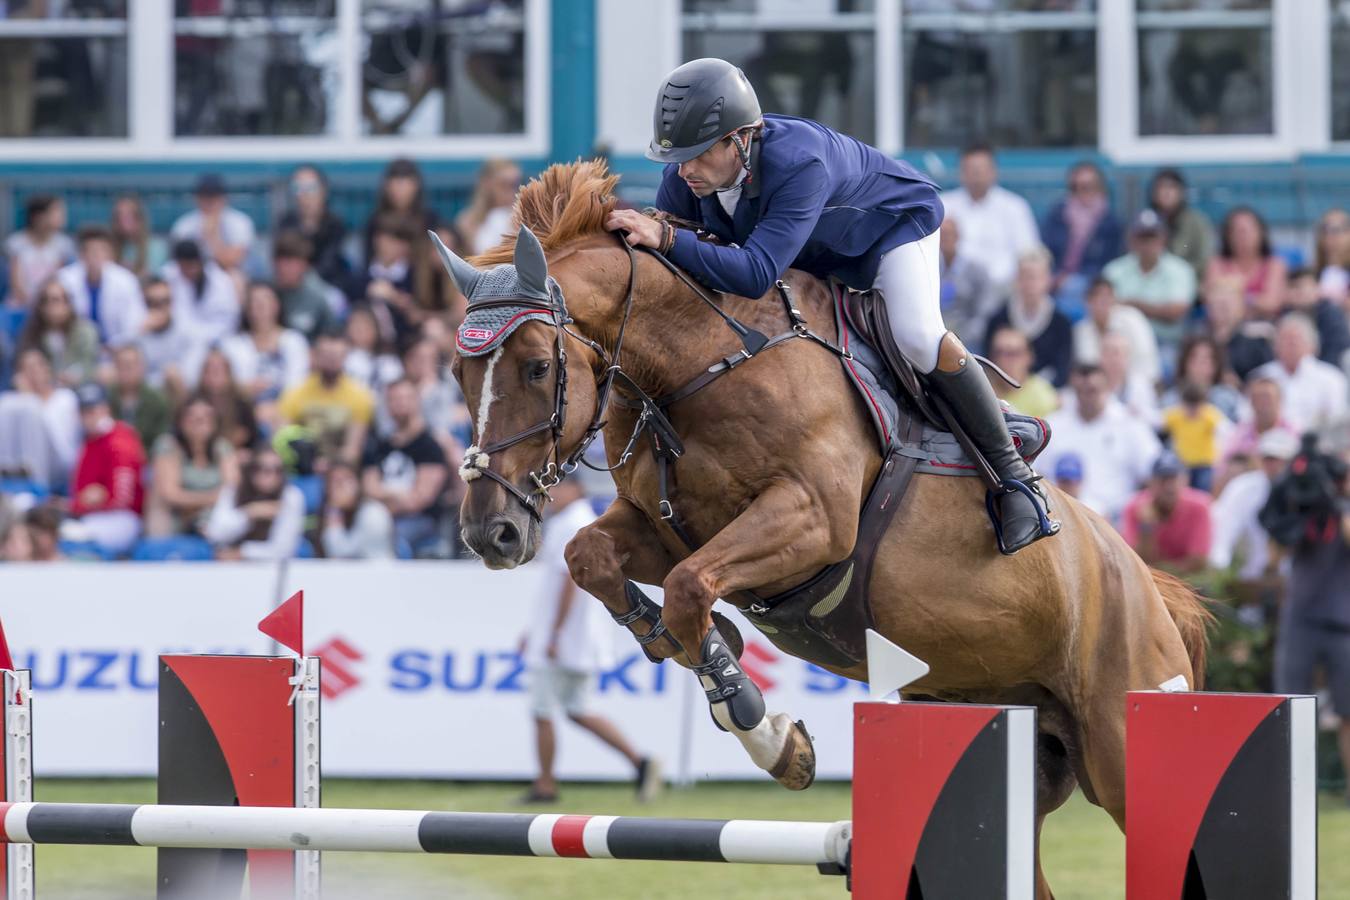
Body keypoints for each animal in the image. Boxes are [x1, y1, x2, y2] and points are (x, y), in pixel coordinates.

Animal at [445, 161, 1215, 900]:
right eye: (457, 372)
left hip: (1120, 745)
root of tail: (1147, 584)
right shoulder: (664, 526)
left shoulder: (812, 519)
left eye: (537, 367)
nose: (491, 535)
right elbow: (592, 557)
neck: (696, 365)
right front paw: (677, 641)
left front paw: (764, 727)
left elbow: (692, 588)